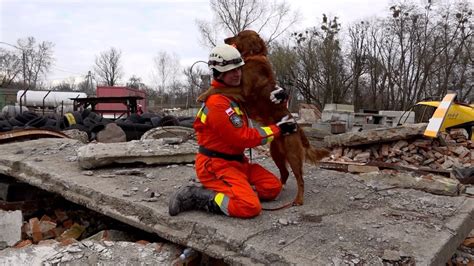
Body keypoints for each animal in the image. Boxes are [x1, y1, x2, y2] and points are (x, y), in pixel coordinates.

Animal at [198, 30, 328, 206]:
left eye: (239, 34)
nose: (225, 39)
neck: (254, 55)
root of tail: (298, 128)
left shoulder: (243, 90)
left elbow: (220, 88)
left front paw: (203, 95)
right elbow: (220, 88)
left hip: (293, 155)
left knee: (300, 179)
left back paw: (298, 199)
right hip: (276, 153)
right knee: (285, 173)